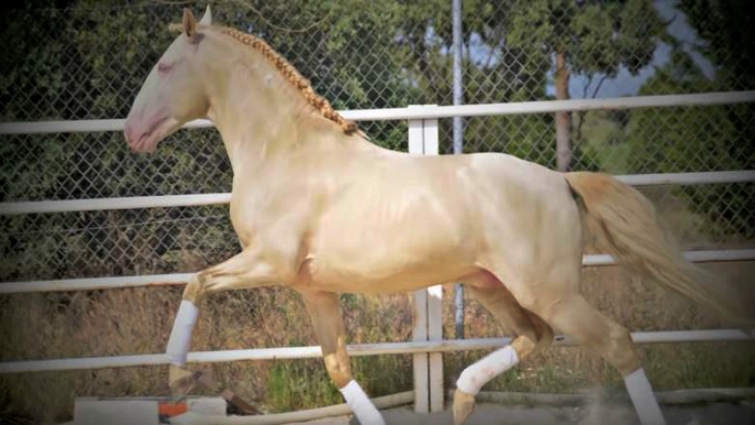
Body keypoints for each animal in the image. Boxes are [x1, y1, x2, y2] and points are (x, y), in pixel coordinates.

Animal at [123, 7, 753, 425]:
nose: (132, 133)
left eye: (165, 67)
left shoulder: (267, 262)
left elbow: (195, 283)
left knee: (617, 344)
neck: (286, 152)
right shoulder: (312, 288)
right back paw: (466, 395)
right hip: (494, 286)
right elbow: (340, 371)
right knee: (535, 338)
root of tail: (560, 181)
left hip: (550, 292)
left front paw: (178, 375)